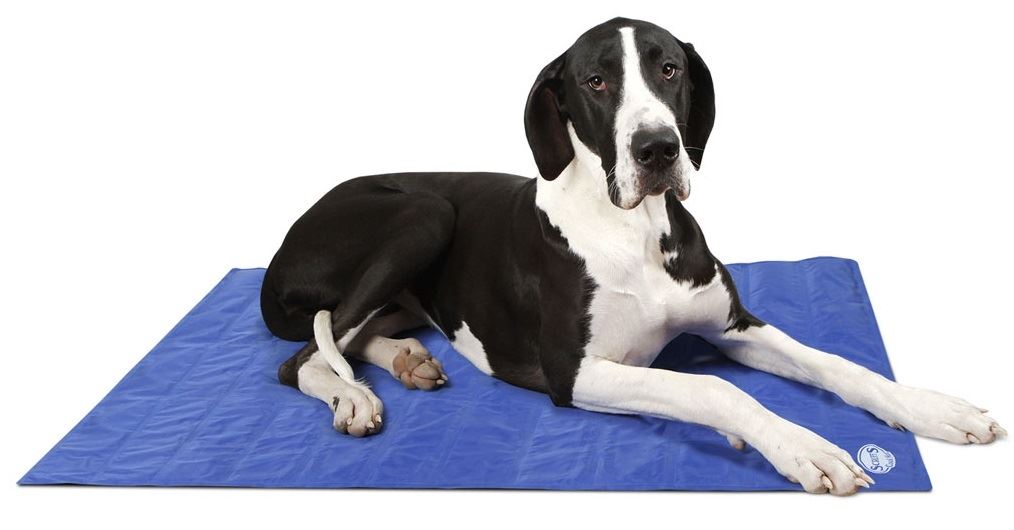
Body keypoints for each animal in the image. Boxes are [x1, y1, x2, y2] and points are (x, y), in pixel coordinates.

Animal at [259, 17, 1005, 495]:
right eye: (594, 81)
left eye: (669, 68)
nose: (657, 150)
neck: (638, 230)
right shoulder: (574, 373)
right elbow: (711, 388)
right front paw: (802, 446)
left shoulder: (733, 324)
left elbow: (839, 365)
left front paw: (933, 408)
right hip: (424, 214)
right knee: (302, 358)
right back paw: (354, 399)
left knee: (353, 335)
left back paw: (407, 362)